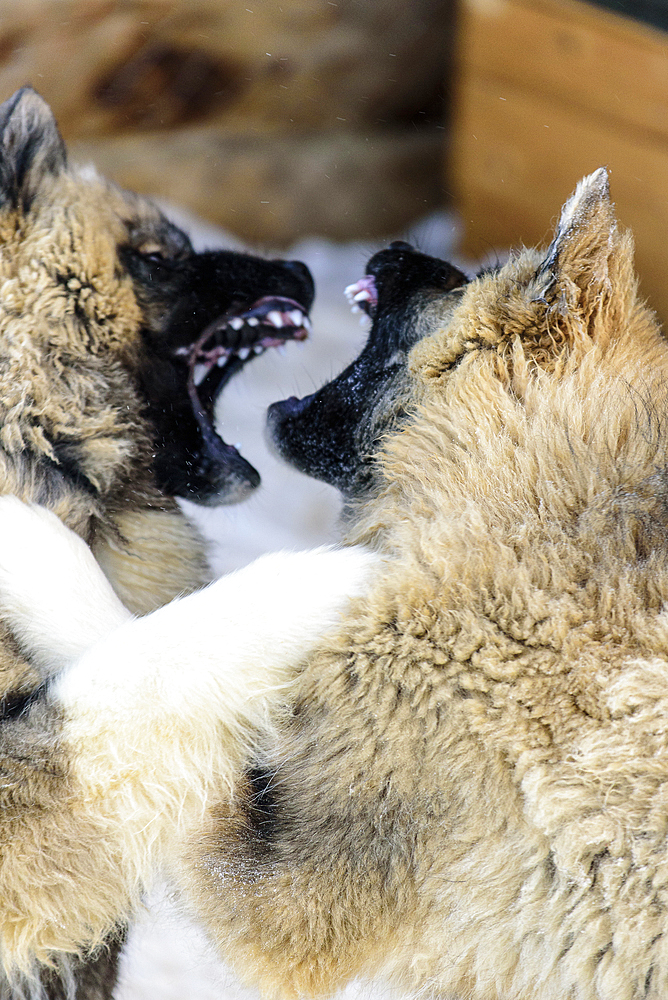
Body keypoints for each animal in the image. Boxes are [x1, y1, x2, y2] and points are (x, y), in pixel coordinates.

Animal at [3, 166, 668, 1000]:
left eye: (462, 276)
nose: (398, 249)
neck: (530, 485)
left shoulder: (284, 895)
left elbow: (139, 661)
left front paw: (29, 542)